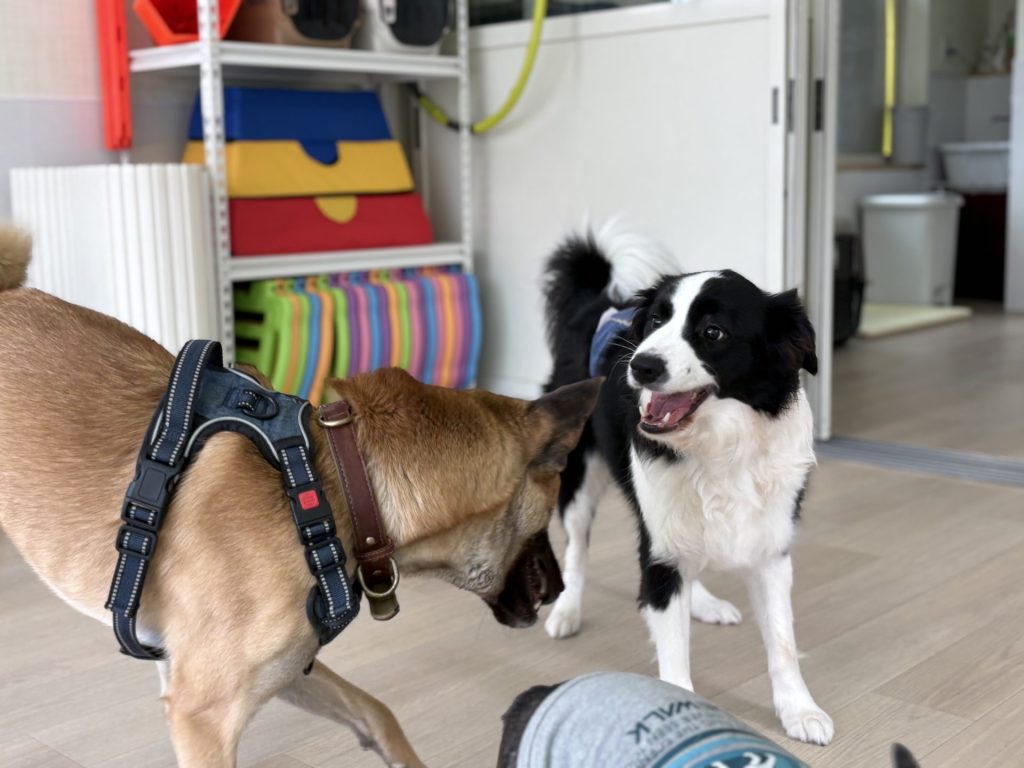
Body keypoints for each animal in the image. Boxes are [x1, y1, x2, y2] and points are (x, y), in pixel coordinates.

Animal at [0, 228, 600, 768]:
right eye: (547, 522)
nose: (563, 589)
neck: (333, 485)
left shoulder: (285, 670)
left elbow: (377, 713)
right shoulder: (202, 715)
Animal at [540, 222, 832, 745]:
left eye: (713, 332)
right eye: (657, 321)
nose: (641, 365)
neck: (720, 448)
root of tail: (602, 305)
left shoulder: (770, 548)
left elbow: (782, 640)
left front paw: (800, 710)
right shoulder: (660, 544)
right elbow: (674, 655)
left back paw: (705, 603)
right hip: (581, 474)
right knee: (577, 545)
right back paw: (567, 611)